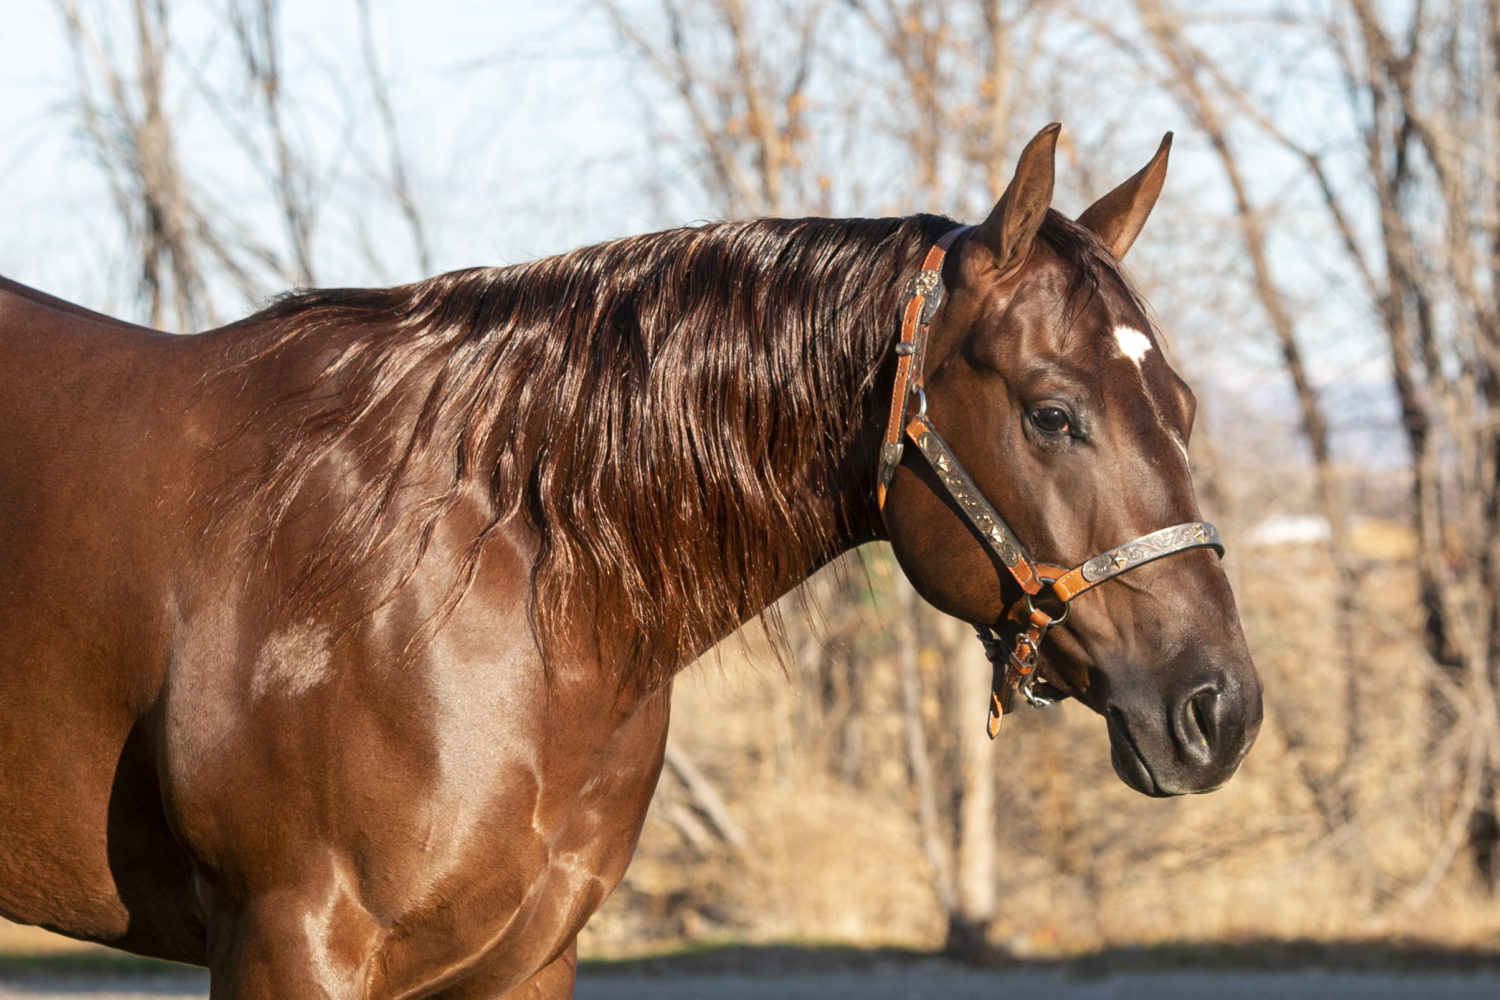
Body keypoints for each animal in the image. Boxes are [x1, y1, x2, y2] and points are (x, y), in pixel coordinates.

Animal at [0, 123, 1261, 998]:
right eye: (1053, 414)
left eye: (1188, 405)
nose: (1221, 710)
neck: (468, 575)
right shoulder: (287, 943)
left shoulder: (525, 956)